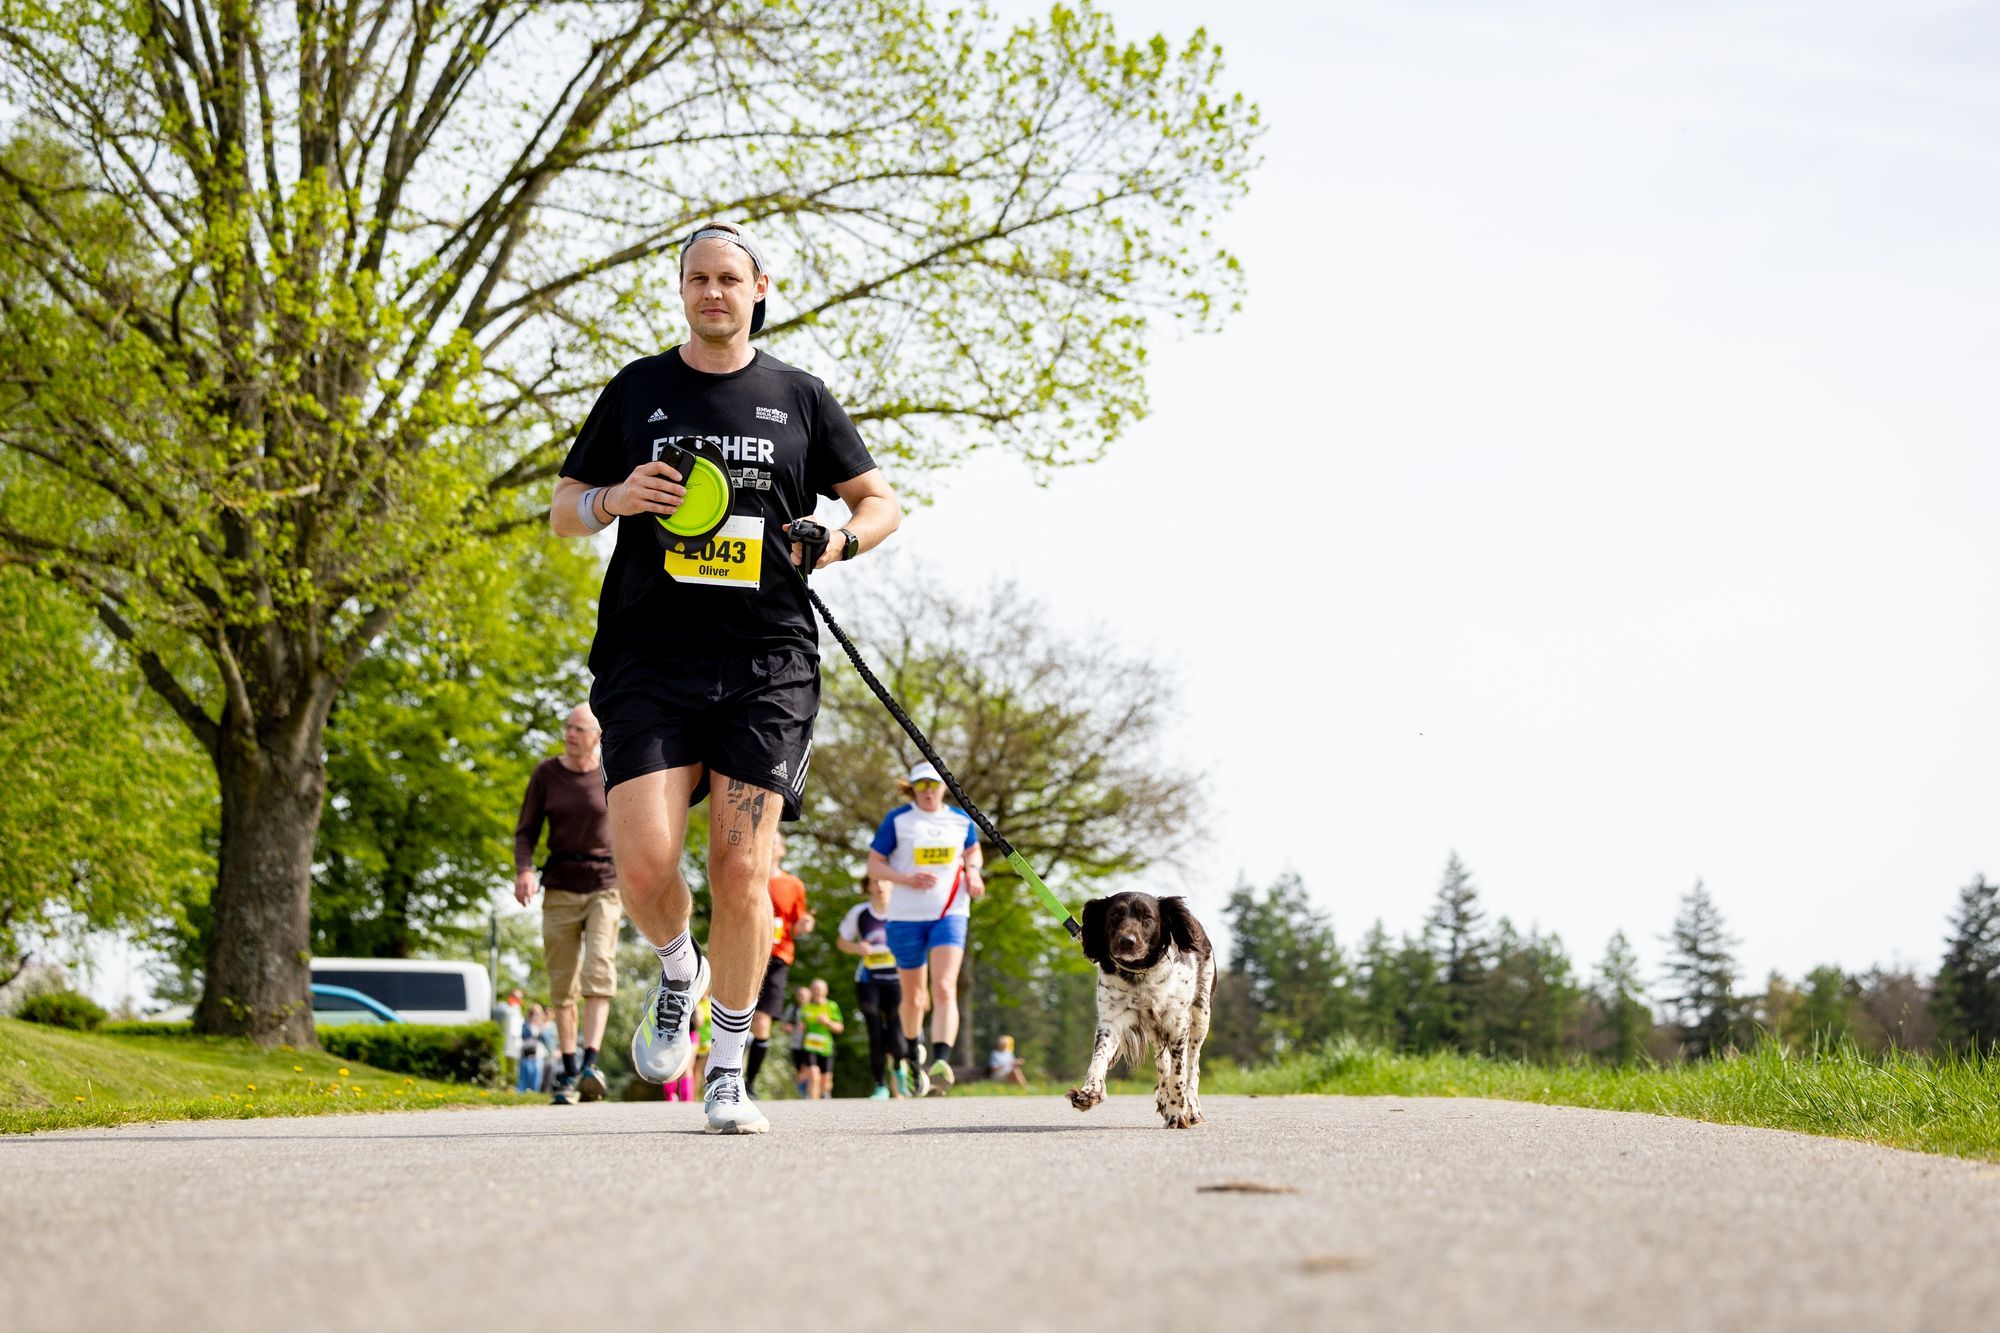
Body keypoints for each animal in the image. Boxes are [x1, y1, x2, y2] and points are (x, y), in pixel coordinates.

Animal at [1072, 888, 1208, 1128]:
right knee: (1163, 1063)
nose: (1127, 941)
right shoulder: (1111, 1021)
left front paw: (1177, 1112)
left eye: (1148, 918)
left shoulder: (1178, 1025)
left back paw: (1191, 1107)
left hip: (1200, 1018)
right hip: (1155, 1030)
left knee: (1192, 1066)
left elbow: (1179, 1075)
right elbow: (1099, 1058)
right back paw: (1163, 1097)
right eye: (1114, 915)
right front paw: (1090, 1092)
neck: (1140, 973)